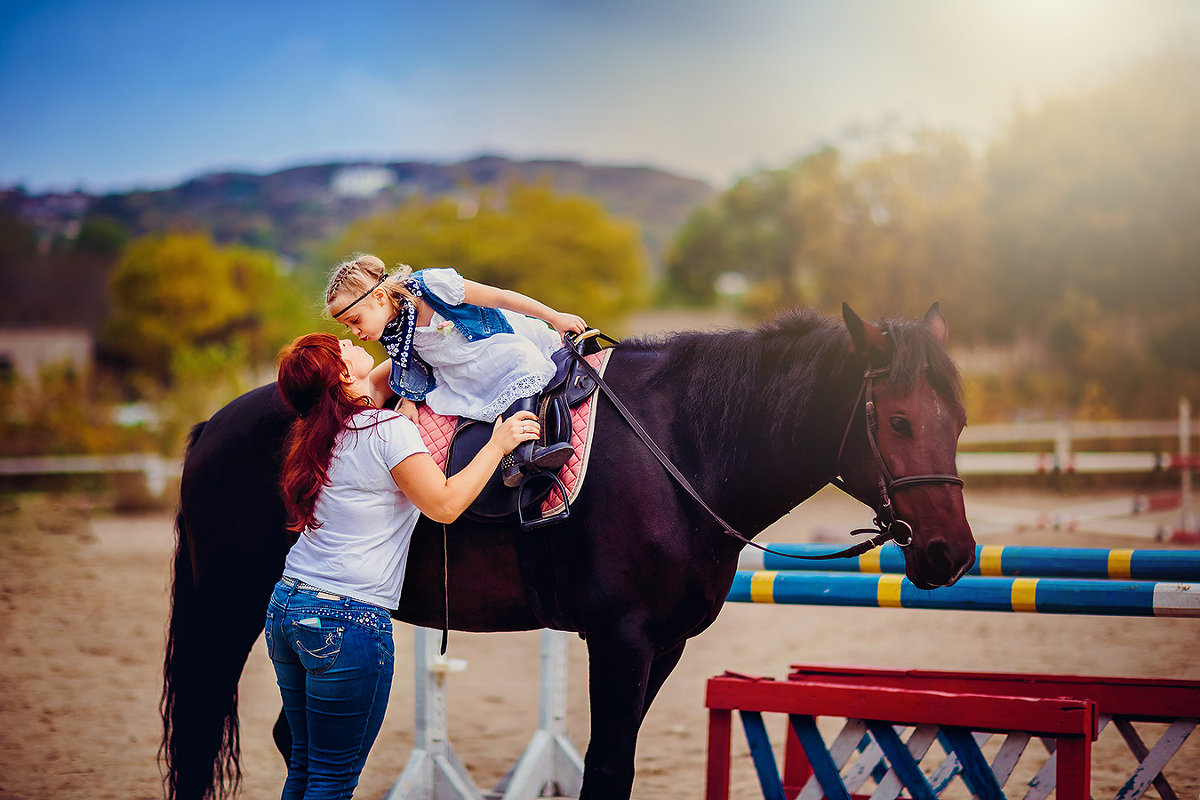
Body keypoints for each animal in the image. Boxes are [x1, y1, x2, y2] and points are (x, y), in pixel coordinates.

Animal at [162, 303, 974, 796]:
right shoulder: (619, 639)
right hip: (231, 611)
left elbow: (613, 763)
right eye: (899, 421)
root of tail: (213, 426)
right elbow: (607, 767)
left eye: (958, 420)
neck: (681, 448)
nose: (953, 554)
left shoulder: (665, 644)